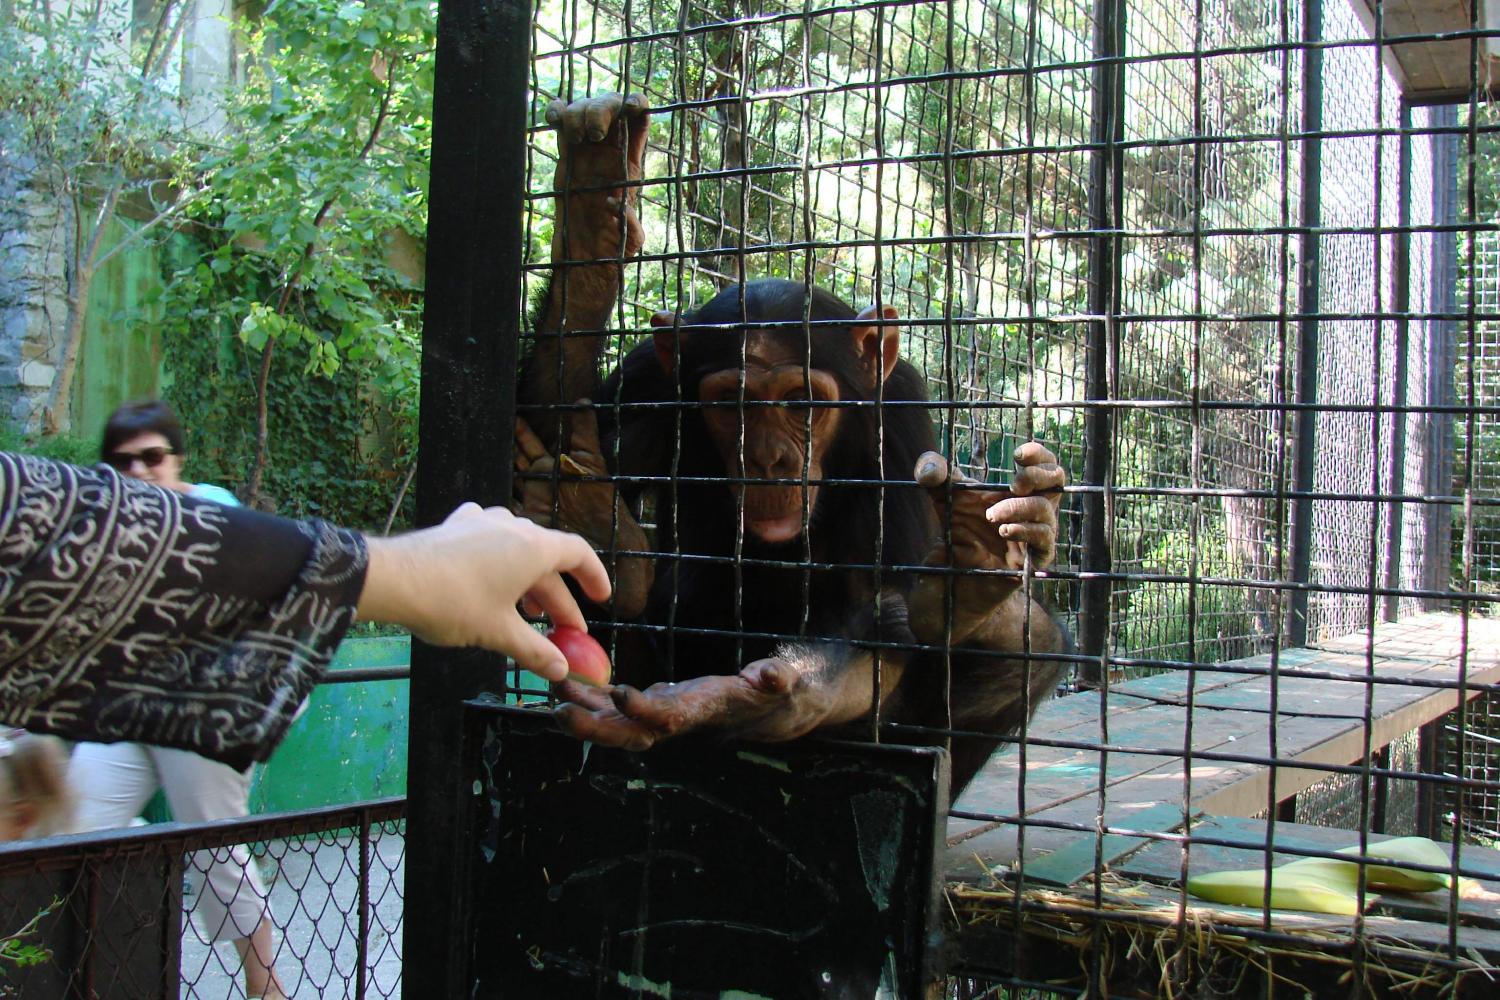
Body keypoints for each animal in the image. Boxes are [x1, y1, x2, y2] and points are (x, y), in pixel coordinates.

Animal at [516, 95, 1068, 797]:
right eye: (732, 405)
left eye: (803, 403)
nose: (770, 459)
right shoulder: (645, 382)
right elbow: (547, 425)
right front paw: (591, 223)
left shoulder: (900, 420)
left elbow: (886, 610)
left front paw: (760, 703)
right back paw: (605, 541)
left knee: (1028, 640)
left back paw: (973, 573)